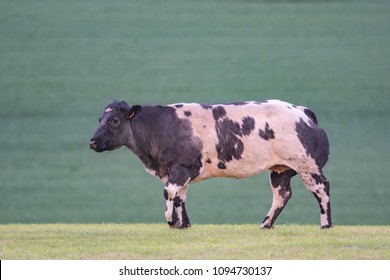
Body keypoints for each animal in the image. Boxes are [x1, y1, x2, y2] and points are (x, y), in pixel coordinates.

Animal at [89, 99, 332, 229]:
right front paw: (183, 225)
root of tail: (301, 110)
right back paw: (265, 225)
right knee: (282, 194)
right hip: (280, 170)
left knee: (321, 189)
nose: (92, 142)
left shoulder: (183, 167)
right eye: (100, 119)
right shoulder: (180, 171)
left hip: (308, 166)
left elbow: (168, 192)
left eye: (114, 120)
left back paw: (326, 224)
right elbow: (180, 197)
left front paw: (171, 221)